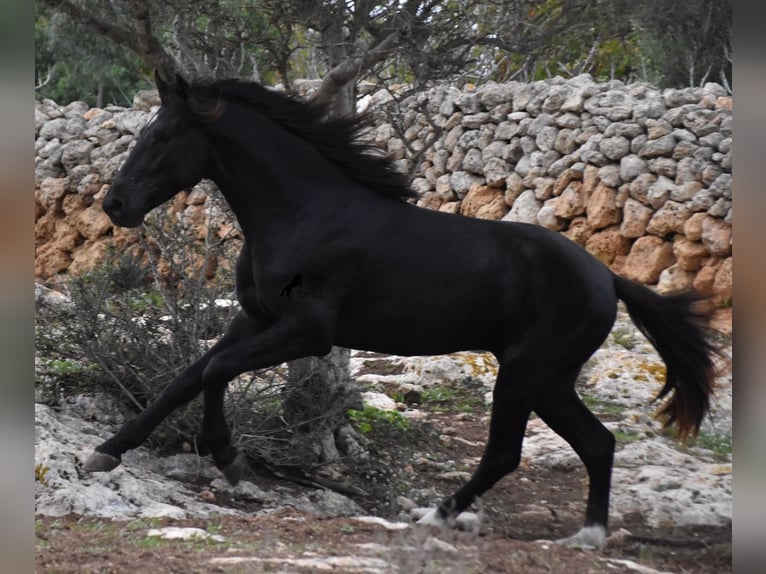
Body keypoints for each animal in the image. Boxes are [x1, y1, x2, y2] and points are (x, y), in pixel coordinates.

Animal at [90, 74, 720, 552]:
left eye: (164, 134)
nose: (115, 205)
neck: (304, 213)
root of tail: (607, 277)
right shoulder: (255, 320)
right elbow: (187, 377)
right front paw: (108, 450)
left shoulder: (307, 332)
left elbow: (217, 372)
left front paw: (229, 460)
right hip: (551, 380)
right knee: (597, 443)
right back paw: (586, 537)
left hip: (525, 373)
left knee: (506, 453)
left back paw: (437, 515)